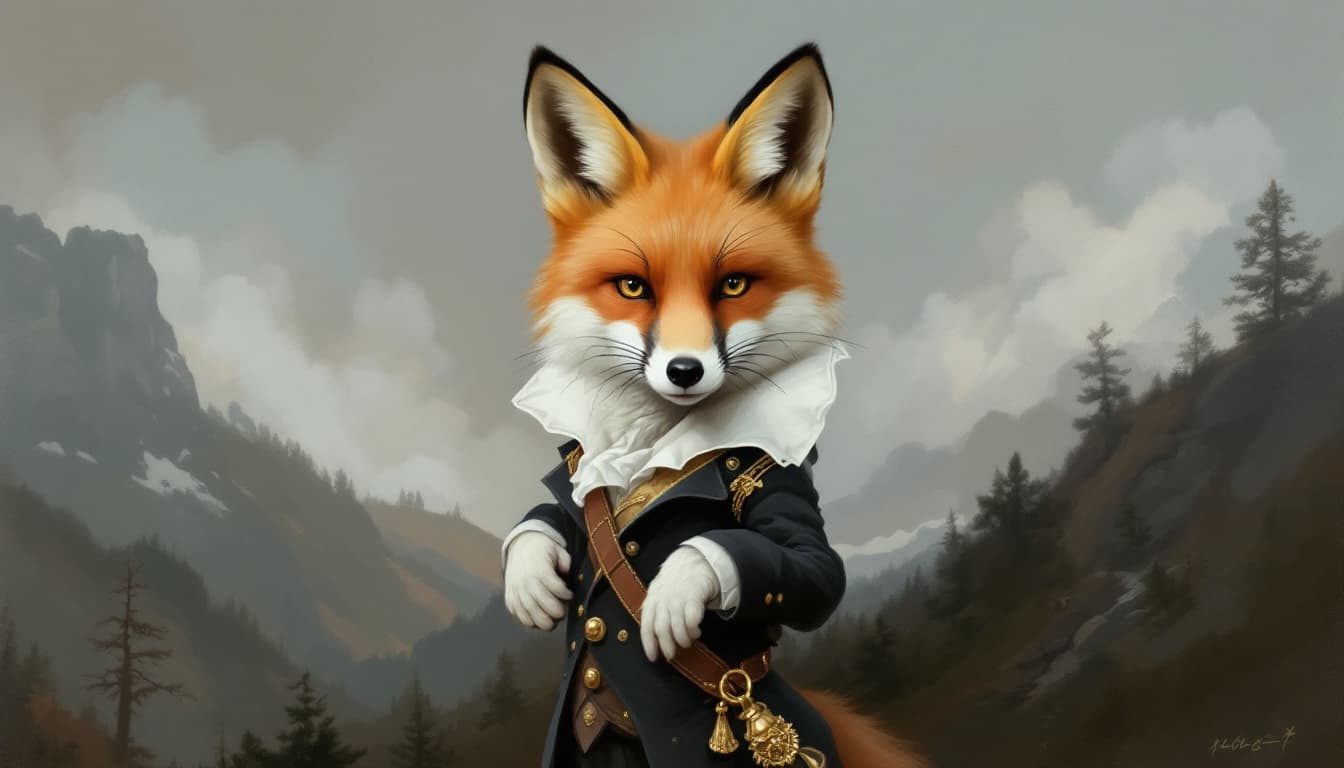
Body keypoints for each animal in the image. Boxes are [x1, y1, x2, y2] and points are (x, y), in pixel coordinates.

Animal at [501, 42, 929, 768]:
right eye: (632, 287)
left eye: (732, 286)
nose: (684, 369)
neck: (650, 444)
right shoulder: (580, 467)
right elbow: (554, 512)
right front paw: (529, 568)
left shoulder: (781, 476)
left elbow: (810, 567)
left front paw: (683, 584)